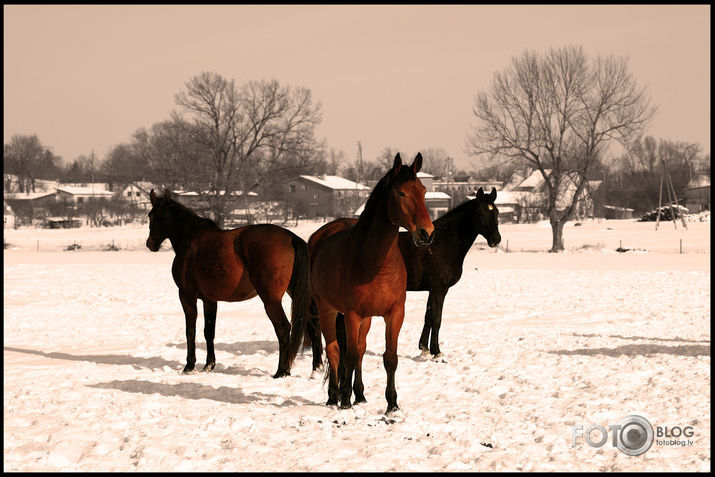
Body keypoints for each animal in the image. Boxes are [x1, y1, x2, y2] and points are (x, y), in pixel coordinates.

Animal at [304, 186, 500, 368]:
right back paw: (318, 364)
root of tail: (317, 236)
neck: (443, 243)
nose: (496, 239)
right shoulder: (439, 289)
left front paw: (424, 348)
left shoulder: (432, 289)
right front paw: (437, 353)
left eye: (496, 212)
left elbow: (428, 316)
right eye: (481, 212)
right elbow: (436, 319)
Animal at [310, 153, 434, 412]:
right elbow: (348, 355)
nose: (427, 233)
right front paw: (345, 400)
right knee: (334, 351)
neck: (377, 264)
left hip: (365, 319)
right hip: (328, 310)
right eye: (401, 193)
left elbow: (389, 358)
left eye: (423, 190)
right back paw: (334, 396)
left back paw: (360, 395)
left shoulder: (394, 314)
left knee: (360, 351)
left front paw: (392, 403)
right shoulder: (352, 314)